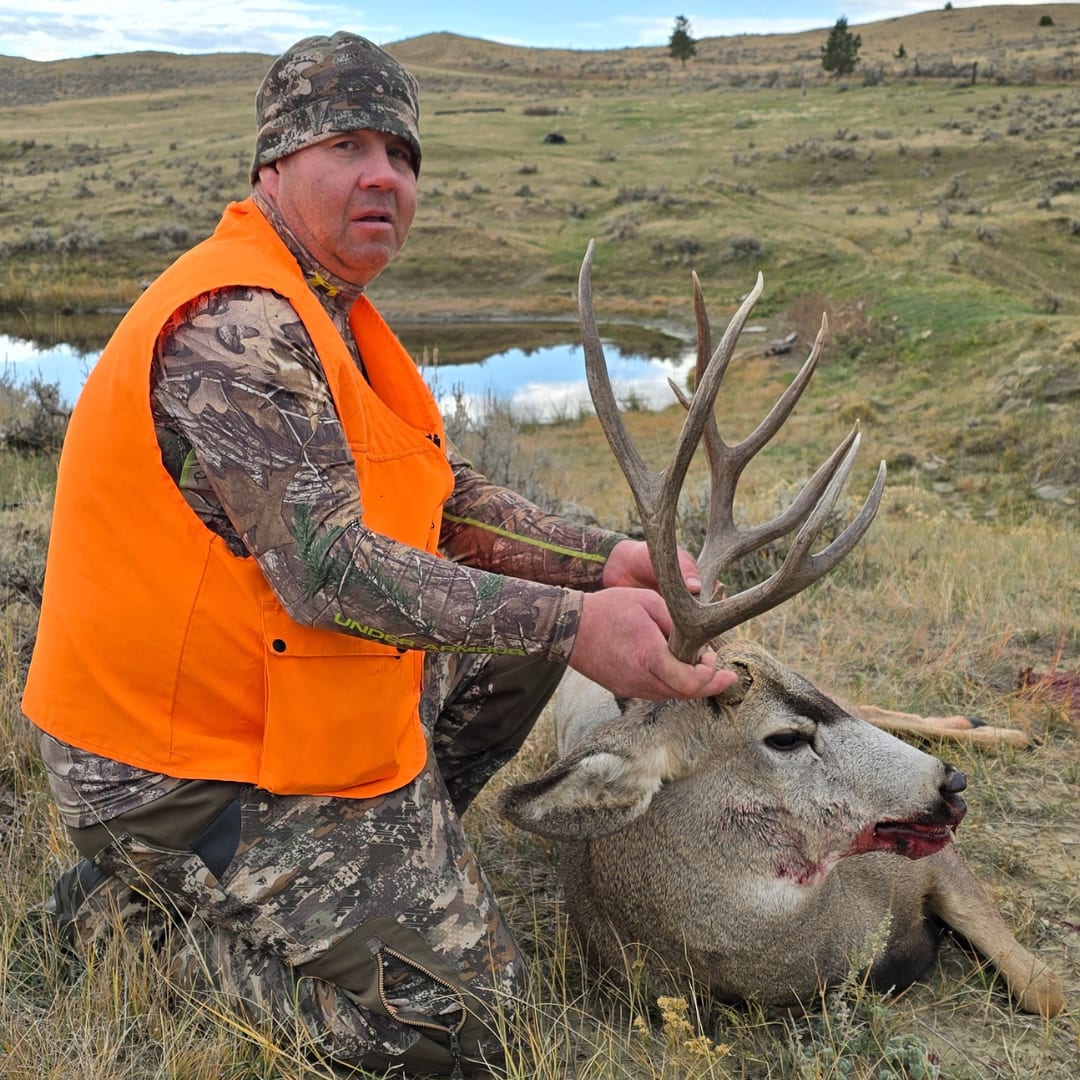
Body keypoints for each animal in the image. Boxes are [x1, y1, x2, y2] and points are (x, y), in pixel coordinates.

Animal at [497, 241, 1065, 1019]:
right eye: (786, 739)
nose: (949, 783)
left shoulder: (941, 859)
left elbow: (1045, 989)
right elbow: (1051, 991)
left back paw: (999, 730)